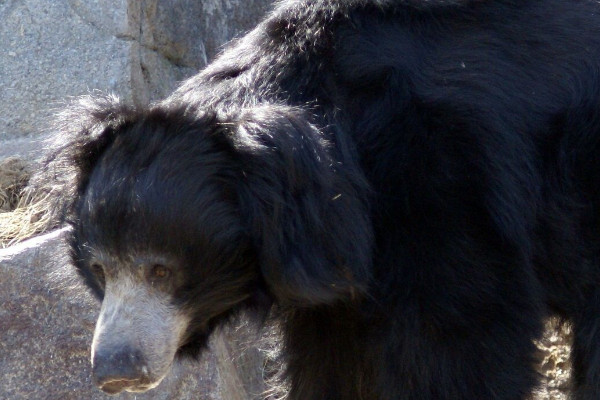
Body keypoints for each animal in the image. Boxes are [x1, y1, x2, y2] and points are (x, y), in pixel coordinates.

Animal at [34, 0, 600, 398]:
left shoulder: (444, 179)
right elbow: (331, 359)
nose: (114, 371)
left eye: (160, 270)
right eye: (100, 270)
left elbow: (457, 333)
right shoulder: (333, 269)